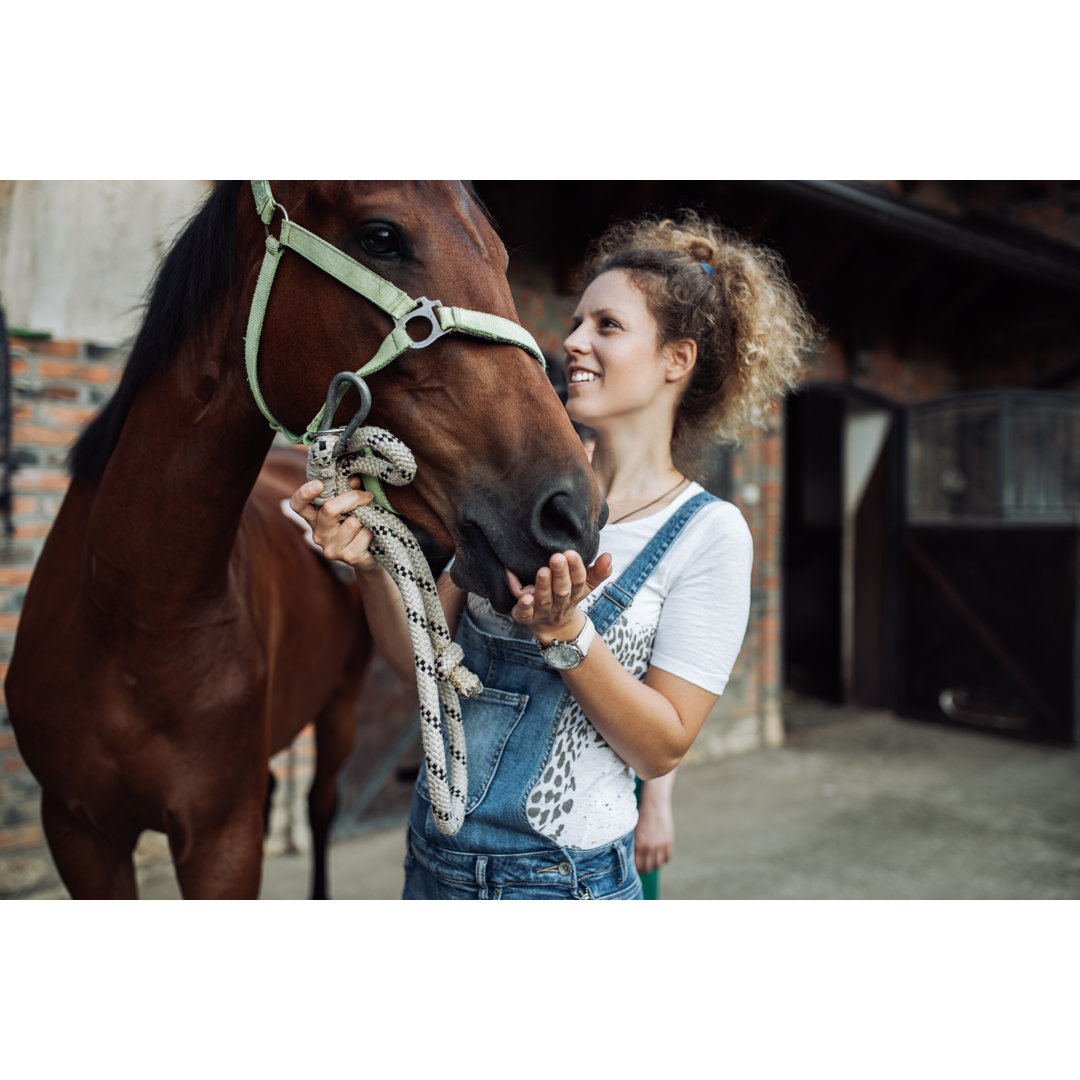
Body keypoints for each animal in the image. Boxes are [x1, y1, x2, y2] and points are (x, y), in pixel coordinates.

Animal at [4, 181, 604, 898]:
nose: (572, 511)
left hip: (339, 708)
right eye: (381, 236)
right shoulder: (78, 831)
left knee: (320, 806)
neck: (131, 616)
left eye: (503, 255)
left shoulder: (221, 840)